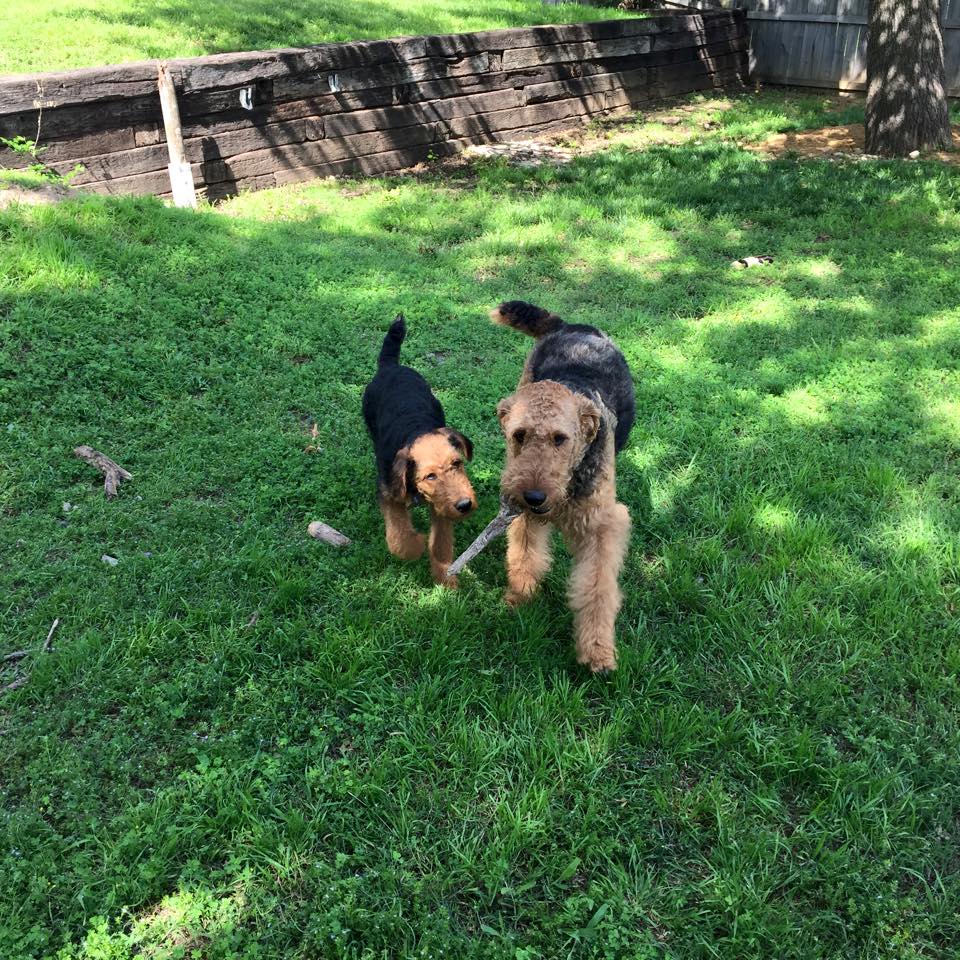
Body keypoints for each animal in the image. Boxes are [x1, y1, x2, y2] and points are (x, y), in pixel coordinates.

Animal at [362, 316, 478, 584]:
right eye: (430, 476)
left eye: (457, 463)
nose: (465, 504)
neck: (415, 431)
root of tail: (391, 367)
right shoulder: (388, 492)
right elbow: (398, 536)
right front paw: (414, 546)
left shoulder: (442, 506)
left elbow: (441, 542)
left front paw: (445, 578)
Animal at [492, 302, 632, 676]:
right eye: (519, 435)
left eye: (560, 439)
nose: (534, 497)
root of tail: (572, 326)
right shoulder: (524, 516)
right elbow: (525, 554)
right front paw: (520, 595)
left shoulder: (601, 526)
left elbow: (597, 588)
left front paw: (597, 651)